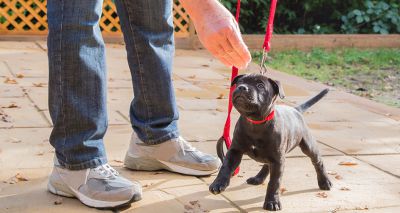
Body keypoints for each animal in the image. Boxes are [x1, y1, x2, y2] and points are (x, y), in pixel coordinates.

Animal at [209, 73, 332, 211]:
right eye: (240, 82)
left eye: (260, 85)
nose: (242, 87)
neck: (255, 122)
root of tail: (295, 110)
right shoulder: (235, 151)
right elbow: (225, 167)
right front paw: (218, 183)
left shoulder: (278, 161)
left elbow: (274, 182)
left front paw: (272, 202)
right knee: (267, 164)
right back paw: (258, 178)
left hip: (308, 145)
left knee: (318, 162)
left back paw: (325, 182)